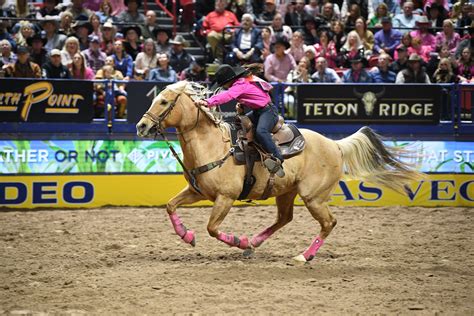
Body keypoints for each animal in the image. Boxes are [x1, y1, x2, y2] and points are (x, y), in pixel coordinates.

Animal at [136, 81, 422, 262]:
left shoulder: (225, 198)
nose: (141, 126)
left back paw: (303, 256)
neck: (214, 145)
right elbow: (171, 206)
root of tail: (335, 145)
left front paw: (238, 240)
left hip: (313, 197)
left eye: (163, 101)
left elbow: (212, 228)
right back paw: (254, 244)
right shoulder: (197, 192)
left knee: (328, 223)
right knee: (284, 218)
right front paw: (188, 236)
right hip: (286, 192)